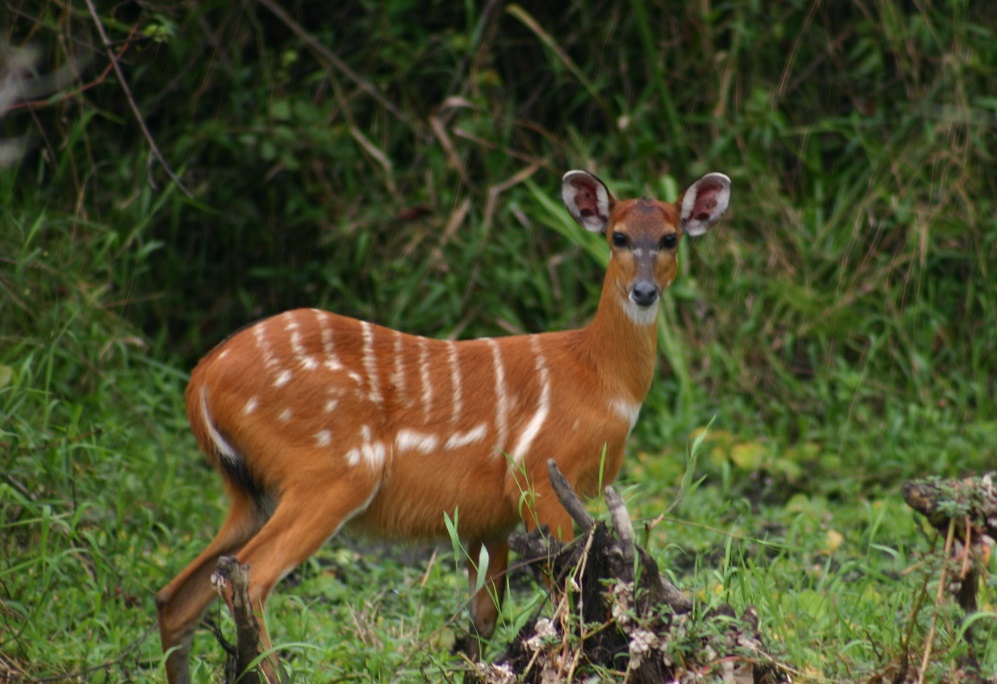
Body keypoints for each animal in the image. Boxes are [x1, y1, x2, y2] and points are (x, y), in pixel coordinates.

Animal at [155, 169, 731, 682]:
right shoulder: (537, 475)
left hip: (249, 490)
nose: (643, 291)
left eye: (670, 238)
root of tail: (200, 380)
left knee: (178, 594)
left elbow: (482, 621)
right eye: (618, 236)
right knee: (250, 579)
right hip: (335, 469)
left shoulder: (488, 518)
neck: (598, 377)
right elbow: (564, 601)